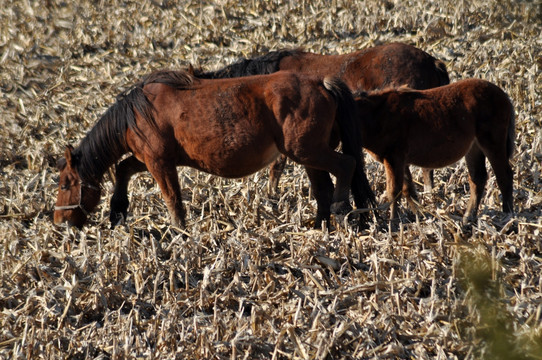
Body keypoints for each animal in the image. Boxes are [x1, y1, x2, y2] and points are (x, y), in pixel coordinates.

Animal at [54, 69, 378, 229]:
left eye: (66, 184)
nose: (59, 223)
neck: (136, 114)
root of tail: (321, 82)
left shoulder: (159, 162)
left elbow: (172, 199)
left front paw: (179, 232)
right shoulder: (149, 159)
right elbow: (123, 169)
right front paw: (117, 211)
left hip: (307, 151)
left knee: (346, 166)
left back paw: (340, 210)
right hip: (309, 155)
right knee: (323, 186)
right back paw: (320, 224)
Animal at [354, 80, 516, 224]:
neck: (379, 116)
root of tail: (504, 96)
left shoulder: (394, 158)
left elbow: (394, 191)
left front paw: (393, 225)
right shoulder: (400, 162)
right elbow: (408, 190)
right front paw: (422, 217)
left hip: (492, 144)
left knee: (504, 177)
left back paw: (507, 219)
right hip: (474, 148)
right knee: (478, 178)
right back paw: (468, 219)